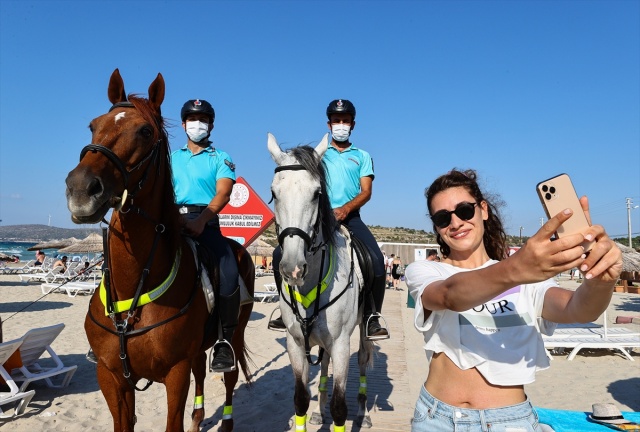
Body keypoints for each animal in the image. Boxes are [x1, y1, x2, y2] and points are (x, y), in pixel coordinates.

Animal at [65, 69, 254, 430]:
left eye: (145, 131)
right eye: (93, 125)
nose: (81, 189)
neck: (135, 286)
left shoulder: (174, 374)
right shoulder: (111, 379)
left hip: (235, 335)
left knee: (230, 376)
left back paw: (225, 420)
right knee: (201, 372)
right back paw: (198, 417)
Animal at [266, 133, 376, 430]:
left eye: (317, 194)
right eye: (274, 193)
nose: (293, 268)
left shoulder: (341, 344)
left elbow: (340, 407)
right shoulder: (294, 343)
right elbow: (300, 400)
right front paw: (313, 409)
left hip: (363, 332)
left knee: (363, 360)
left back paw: (364, 413)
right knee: (324, 363)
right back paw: (320, 409)